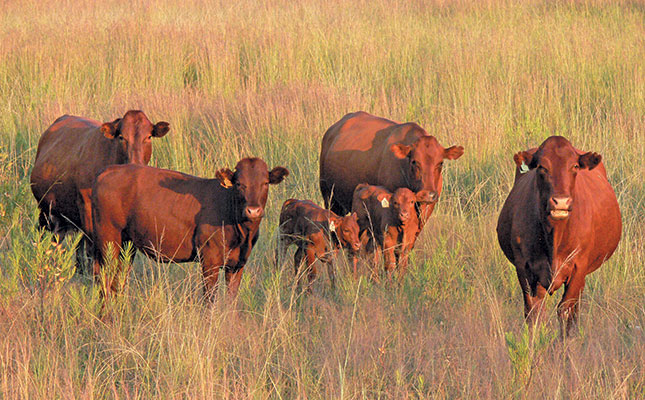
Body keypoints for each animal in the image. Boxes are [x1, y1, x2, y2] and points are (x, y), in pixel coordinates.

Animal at [496, 138, 620, 334]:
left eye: (574, 166)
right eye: (541, 167)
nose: (560, 202)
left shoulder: (578, 267)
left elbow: (566, 311)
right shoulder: (524, 267)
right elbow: (533, 312)